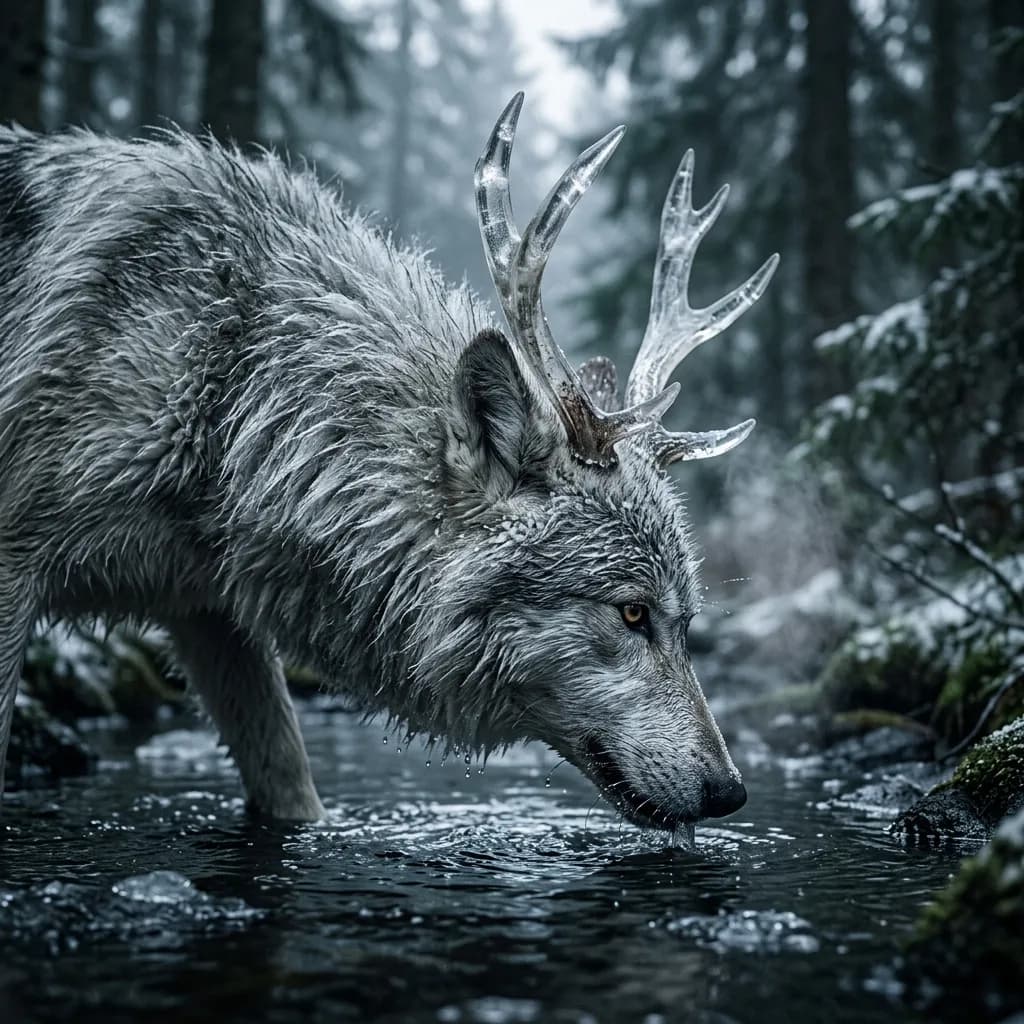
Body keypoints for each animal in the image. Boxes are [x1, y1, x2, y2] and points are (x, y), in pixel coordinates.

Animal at [0, 94, 777, 832]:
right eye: (632, 612)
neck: (236, 389)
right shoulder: (17, 572)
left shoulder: (207, 613)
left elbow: (293, 789)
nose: (731, 793)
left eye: (688, 624)